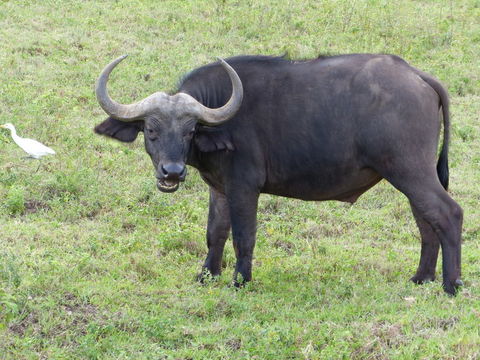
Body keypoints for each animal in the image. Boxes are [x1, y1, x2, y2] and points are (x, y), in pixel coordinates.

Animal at [93, 54, 462, 296]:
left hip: (410, 171)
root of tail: (417, 76)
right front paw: (206, 275)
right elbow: (215, 232)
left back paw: (451, 284)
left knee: (448, 213)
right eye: (151, 129)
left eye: (190, 130)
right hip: (411, 176)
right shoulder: (220, 189)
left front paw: (240, 281)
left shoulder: (244, 187)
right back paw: (422, 278)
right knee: (426, 221)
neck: (222, 121)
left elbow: (244, 236)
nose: (172, 172)